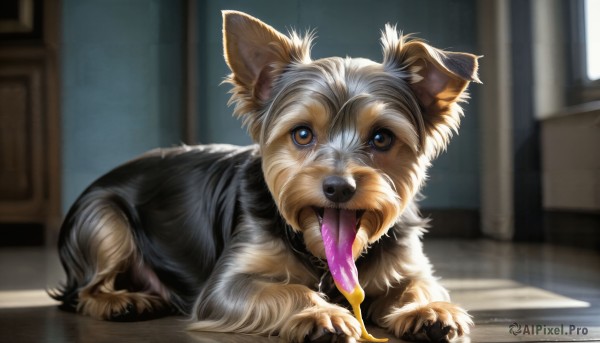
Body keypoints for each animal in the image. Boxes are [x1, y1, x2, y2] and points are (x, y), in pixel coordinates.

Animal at [49, 10, 480, 343]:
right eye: (302, 134)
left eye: (382, 137)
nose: (339, 187)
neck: (319, 253)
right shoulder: (226, 286)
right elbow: (288, 289)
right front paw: (320, 314)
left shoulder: (407, 264)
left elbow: (420, 282)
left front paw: (431, 309)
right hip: (100, 216)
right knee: (86, 287)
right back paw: (122, 301)